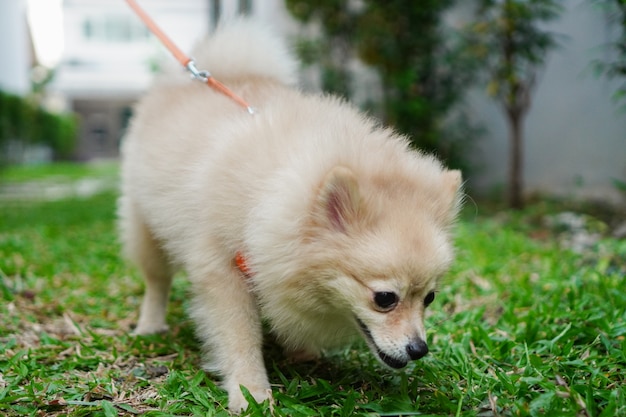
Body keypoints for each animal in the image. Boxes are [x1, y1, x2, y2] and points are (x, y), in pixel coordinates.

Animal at [117, 18, 460, 410]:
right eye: (385, 298)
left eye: (429, 298)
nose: (419, 349)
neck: (271, 190)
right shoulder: (221, 269)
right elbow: (239, 336)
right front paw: (250, 392)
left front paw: (301, 352)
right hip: (145, 224)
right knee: (156, 280)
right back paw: (149, 324)